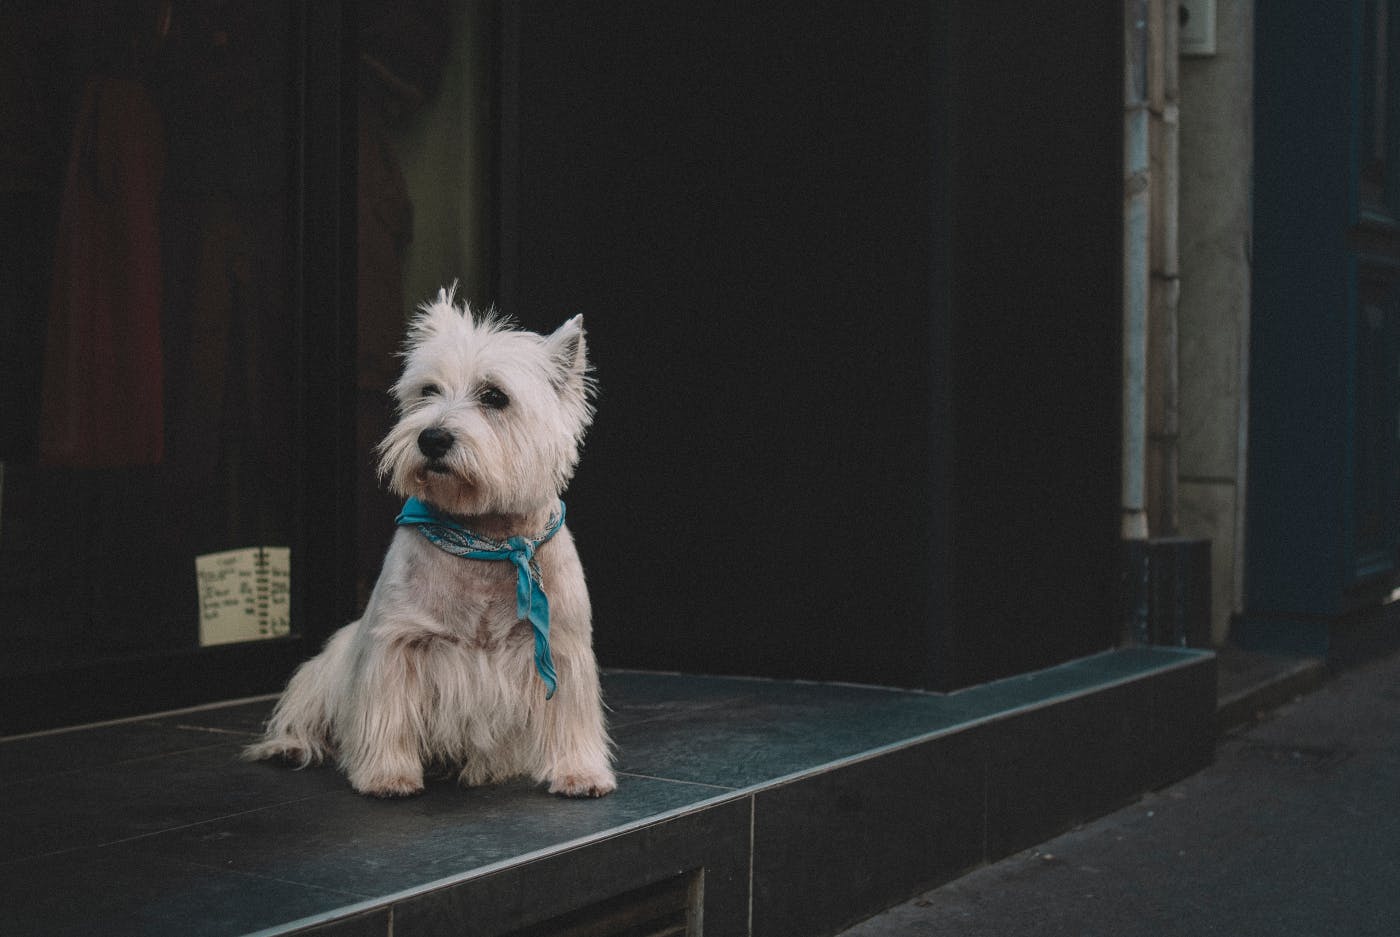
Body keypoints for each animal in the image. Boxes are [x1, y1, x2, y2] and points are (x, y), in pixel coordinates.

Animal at [243, 288, 616, 801]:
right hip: (328, 665)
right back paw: (289, 746)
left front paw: (579, 773)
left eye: (494, 396)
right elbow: (388, 712)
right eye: (427, 391)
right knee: (305, 712)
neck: (485, 538)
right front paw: (388, 775)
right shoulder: (398, 642)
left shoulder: (561, 645)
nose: (432, 438)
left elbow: (570, 716)